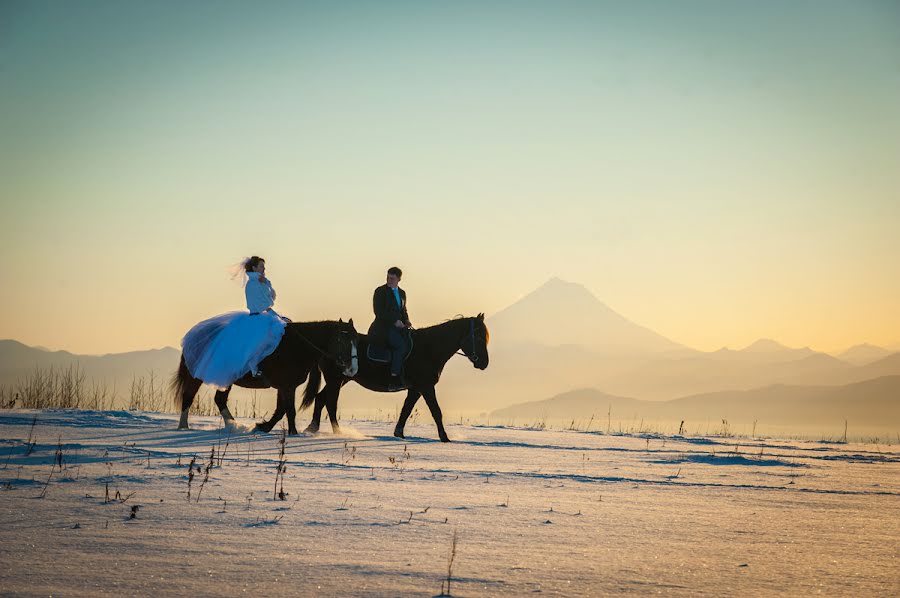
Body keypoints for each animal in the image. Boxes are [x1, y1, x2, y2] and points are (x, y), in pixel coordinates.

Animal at [172, 322, 358, 434]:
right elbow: (290, 410)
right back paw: (183, 426)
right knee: (188, 396)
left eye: (356, 340)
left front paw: (263, 427)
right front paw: (292, 433)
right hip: (196, 376)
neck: (298, 347)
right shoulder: (287, 386)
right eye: (342, 340)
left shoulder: (284, 386)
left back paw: (233, 426)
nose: (352, 369)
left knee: (220, 399)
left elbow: (281, 409)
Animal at [300, 316, 486, 442]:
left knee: (321, 398)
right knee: (329, 402)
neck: (429, 348)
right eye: (478, 337)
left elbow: (406, 410)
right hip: (335, 379)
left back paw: (314, 428)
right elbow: (436, 411)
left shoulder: (415, 388)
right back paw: (334, 431)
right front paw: (445, 437)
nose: (484, 363)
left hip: (342, 379)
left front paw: (399, 433)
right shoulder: (425, 386)